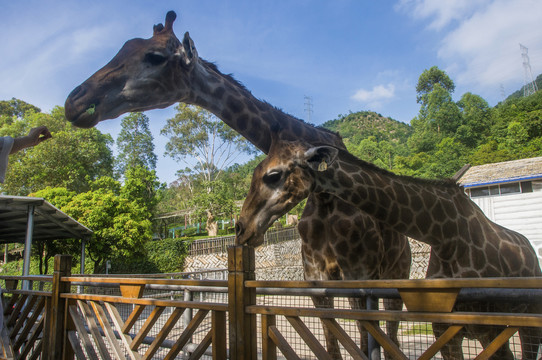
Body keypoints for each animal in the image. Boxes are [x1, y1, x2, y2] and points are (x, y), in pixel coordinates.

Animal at [238, 134, 542, 360]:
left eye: (273, 175)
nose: (241, 228)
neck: (445, 237)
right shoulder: (445, 328)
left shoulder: (486, 327)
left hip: (522, 320)